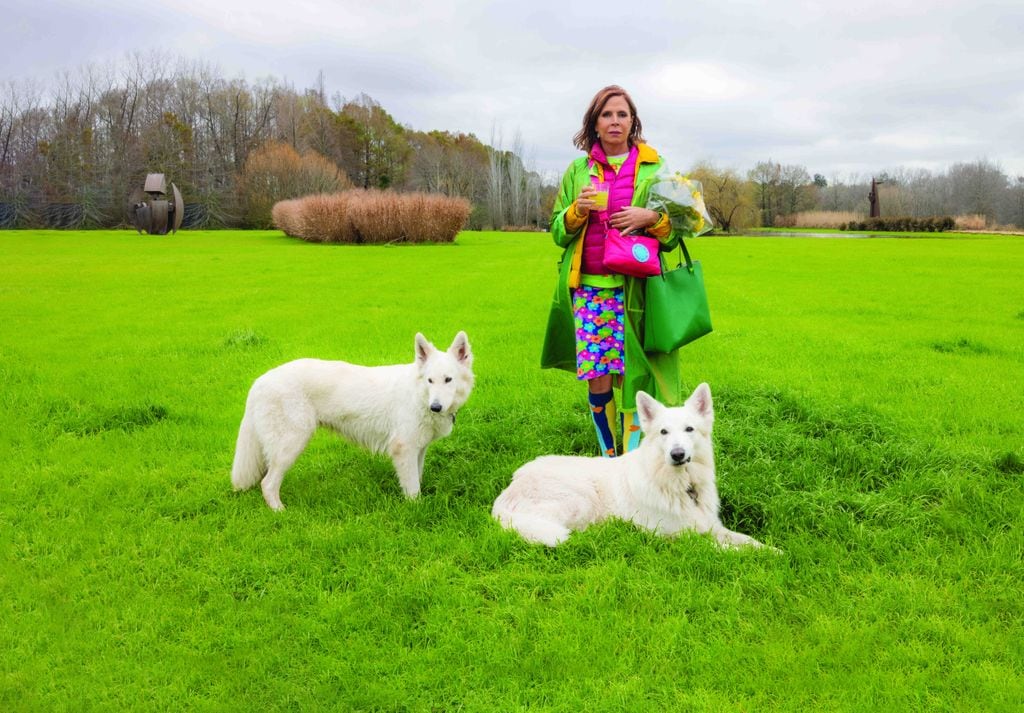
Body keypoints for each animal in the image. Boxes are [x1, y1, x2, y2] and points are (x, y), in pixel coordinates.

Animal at [231, 331, 471, 510]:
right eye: (430, 380)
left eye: (448, 379)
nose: (435, 407)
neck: (419, 395)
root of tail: (259, 381)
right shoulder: (404, 449)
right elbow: (412, 488)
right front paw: (416, 509)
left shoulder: (418, 450)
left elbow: (416, 478)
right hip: (291, 444)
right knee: (268, 484)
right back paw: (281, 512)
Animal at [493, 381, 770, 549]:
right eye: (663, 432)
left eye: (689, 429)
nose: (677, 454)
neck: (681, 486)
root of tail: (504, 498)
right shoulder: (675, 537)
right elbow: (723, 548)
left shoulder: (711, 525)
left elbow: (748, 541)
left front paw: (772, 553)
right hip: (579, 501)